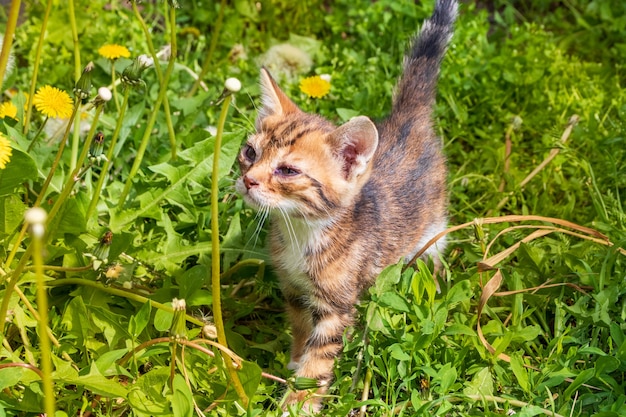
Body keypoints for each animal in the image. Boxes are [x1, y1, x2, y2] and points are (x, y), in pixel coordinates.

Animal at [236, 0, 456, 410]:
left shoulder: (337, 306)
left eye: (288, 170)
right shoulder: (293, 289)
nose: (248, 179)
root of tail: (408, 118)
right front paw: (295, 361)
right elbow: (300, 328)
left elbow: (321, 354)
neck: (301, 232)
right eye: (250, 152)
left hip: (431, 231)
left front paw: (299, 402)